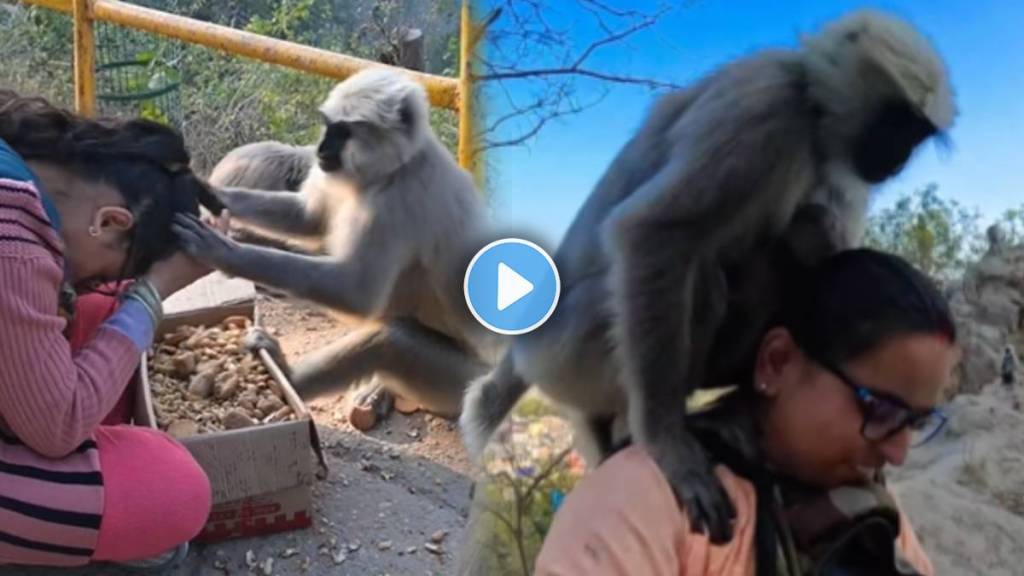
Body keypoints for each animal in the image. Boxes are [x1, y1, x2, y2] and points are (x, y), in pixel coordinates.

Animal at [173, 67, 503, 420]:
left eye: (343, 132)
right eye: (328, 125)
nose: (321, 149)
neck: (392, 169)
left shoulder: (399, 200)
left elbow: (356, 293)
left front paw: (222, 252)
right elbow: (309, 218)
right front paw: (207, 190)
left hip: (463, 382)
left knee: (393, 339)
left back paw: (288, 376)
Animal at [459, 9, 956, 543]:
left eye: (915, 137)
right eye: (898, 125)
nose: (899, 160)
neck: (811, 105)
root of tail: (530, 346)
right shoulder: (767, 105)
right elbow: (654, 231)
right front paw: (667, 445)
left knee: (793, 241)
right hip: (572, 351)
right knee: (705, 271)